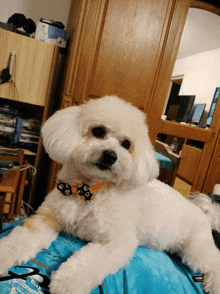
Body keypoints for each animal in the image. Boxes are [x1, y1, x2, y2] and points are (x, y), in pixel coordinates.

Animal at [0, 95, 220, 292]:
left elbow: (87, 263)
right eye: (98, 131)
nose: (111, 155)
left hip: (196, 248)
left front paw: (67, 283)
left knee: (213, 262)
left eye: (126, 144)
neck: (89, 190)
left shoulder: (116, 242)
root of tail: (206, 213)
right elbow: (17, 241)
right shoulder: (46, 219)